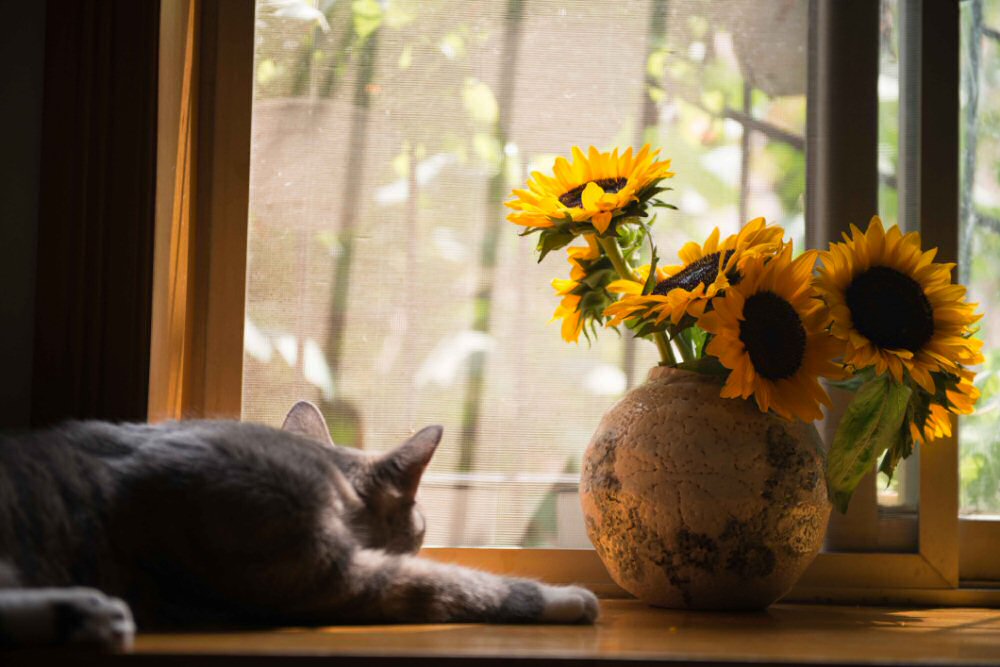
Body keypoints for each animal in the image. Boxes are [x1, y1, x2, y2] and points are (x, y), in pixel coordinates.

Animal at [0, 404, 592, 648]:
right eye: (422, 530)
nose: (421, 540)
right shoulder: (329, 575)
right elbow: (458, 583)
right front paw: (568, 598)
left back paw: (86, 615)